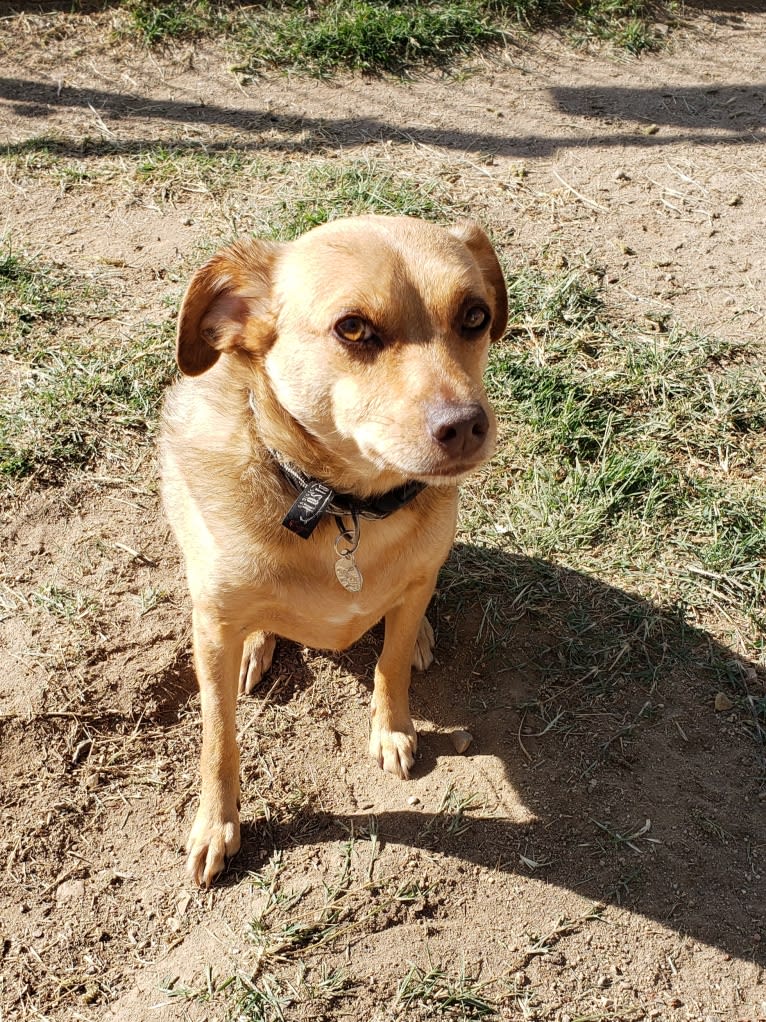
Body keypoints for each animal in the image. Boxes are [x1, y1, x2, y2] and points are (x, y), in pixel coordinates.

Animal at [160, 215, 510, 887]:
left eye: (475, 316)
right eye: (353, 328)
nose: (466, 425)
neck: (342, 507)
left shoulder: (411, 583)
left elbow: (390, 663)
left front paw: (392, 728)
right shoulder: (212, 626)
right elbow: (218, 741)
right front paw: (216, 826)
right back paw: (258, 645)